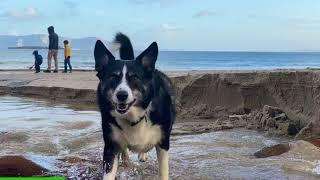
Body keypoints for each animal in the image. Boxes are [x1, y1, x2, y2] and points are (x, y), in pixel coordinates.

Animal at [94, 32, 176, 180]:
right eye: (112, 77)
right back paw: (126, 159)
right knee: (124, 149)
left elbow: (163, 170)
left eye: (135, 77)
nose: (122, 95)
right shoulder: (110, 144)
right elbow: (110, 168)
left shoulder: (163, 141)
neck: (134, 116)